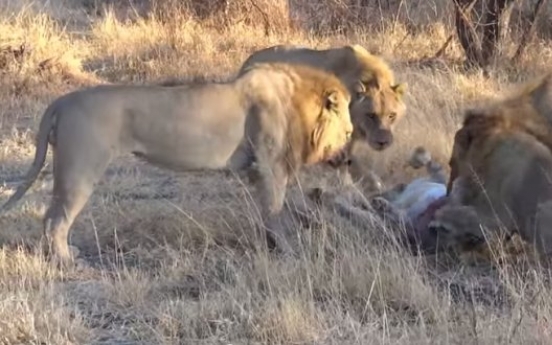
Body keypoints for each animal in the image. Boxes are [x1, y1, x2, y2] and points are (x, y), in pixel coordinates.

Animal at [0, 61, 354, 264]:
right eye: (350, 131)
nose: (349, 160)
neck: (299, 104)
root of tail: (61, 101)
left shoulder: (258, 172)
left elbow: (265, 213)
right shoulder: (270, 167)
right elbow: (276, 212)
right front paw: (290, 251)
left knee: (49, 216)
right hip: (81, 170)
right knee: (55, 220)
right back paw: (66, 261)